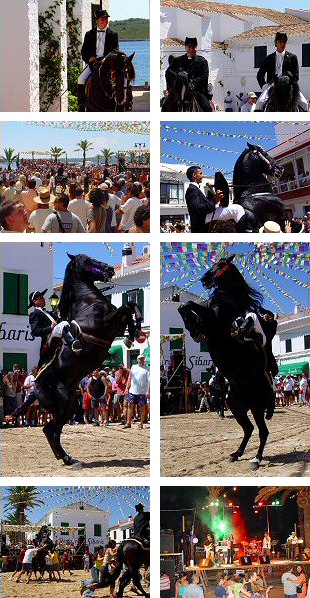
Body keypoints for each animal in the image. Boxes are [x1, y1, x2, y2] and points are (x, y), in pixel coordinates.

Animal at [33, 254, 142, 468]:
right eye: (86, 260)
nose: (109, 269)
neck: (88, 302)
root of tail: (34, 386)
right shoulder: (107, 323)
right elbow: (126, 307)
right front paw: (135, 330)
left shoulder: (116, 327)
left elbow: (130, 308)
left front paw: (135, 331)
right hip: (63, 406)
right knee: (51, 430)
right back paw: (67, 459)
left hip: (69, 406)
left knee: (52, 431)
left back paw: (67, 458)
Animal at [178, 255, 278, 472]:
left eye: (222, 265)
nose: (205, 279)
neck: (228, 299)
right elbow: (185, 306)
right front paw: (193, 328)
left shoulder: (214, 320)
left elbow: (189, 303)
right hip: (236, 405)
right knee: (249, 428)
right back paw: (237, 453)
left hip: (256, 407)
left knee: (262, 431)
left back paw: (256, 459)